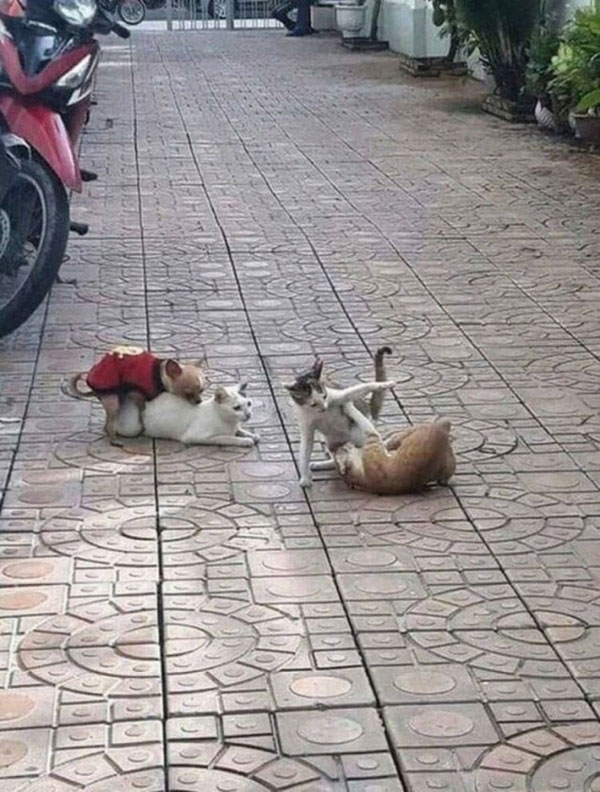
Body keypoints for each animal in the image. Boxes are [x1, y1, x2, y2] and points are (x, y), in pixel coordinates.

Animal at [117, 382, 259, 447]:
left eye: (249, 404)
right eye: (237, 408)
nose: (249, 414)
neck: (229, 422)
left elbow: (240, 430)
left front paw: (252, 435)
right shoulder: (195, 437)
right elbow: (227, 438)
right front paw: (245, 441)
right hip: (133, 428)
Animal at [284, 347, 395, 488]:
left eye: (324, 396)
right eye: (313, 403)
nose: (324, 408)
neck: (316, 412)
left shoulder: (336, 396)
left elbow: (355, 390)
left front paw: (384, 384)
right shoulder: (305, 423)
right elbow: (305, 449)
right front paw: (304, 478)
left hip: (358, 432)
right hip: (331, 441)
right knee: (335, 456)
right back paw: (325, 463)